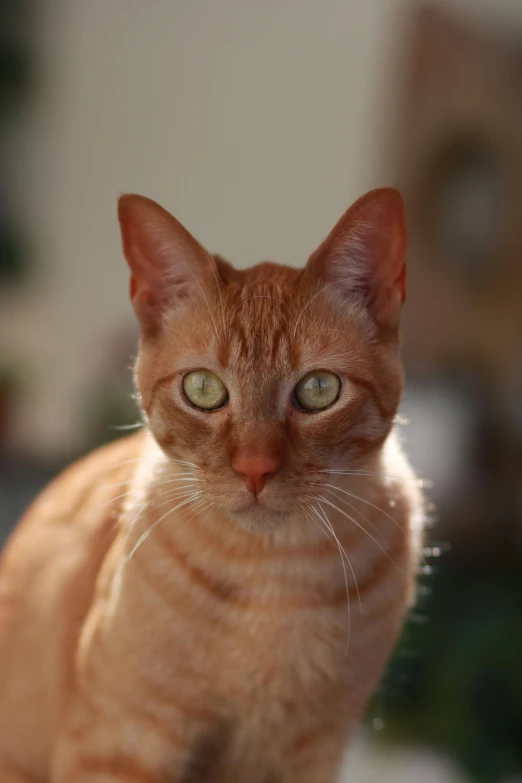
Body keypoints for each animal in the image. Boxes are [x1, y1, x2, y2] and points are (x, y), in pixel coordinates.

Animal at [0, 190, 422, 783]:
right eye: (203, 390)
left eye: (319, 390)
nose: (255, 468)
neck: (276, 576)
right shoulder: (123, 740)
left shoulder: (314, 750)